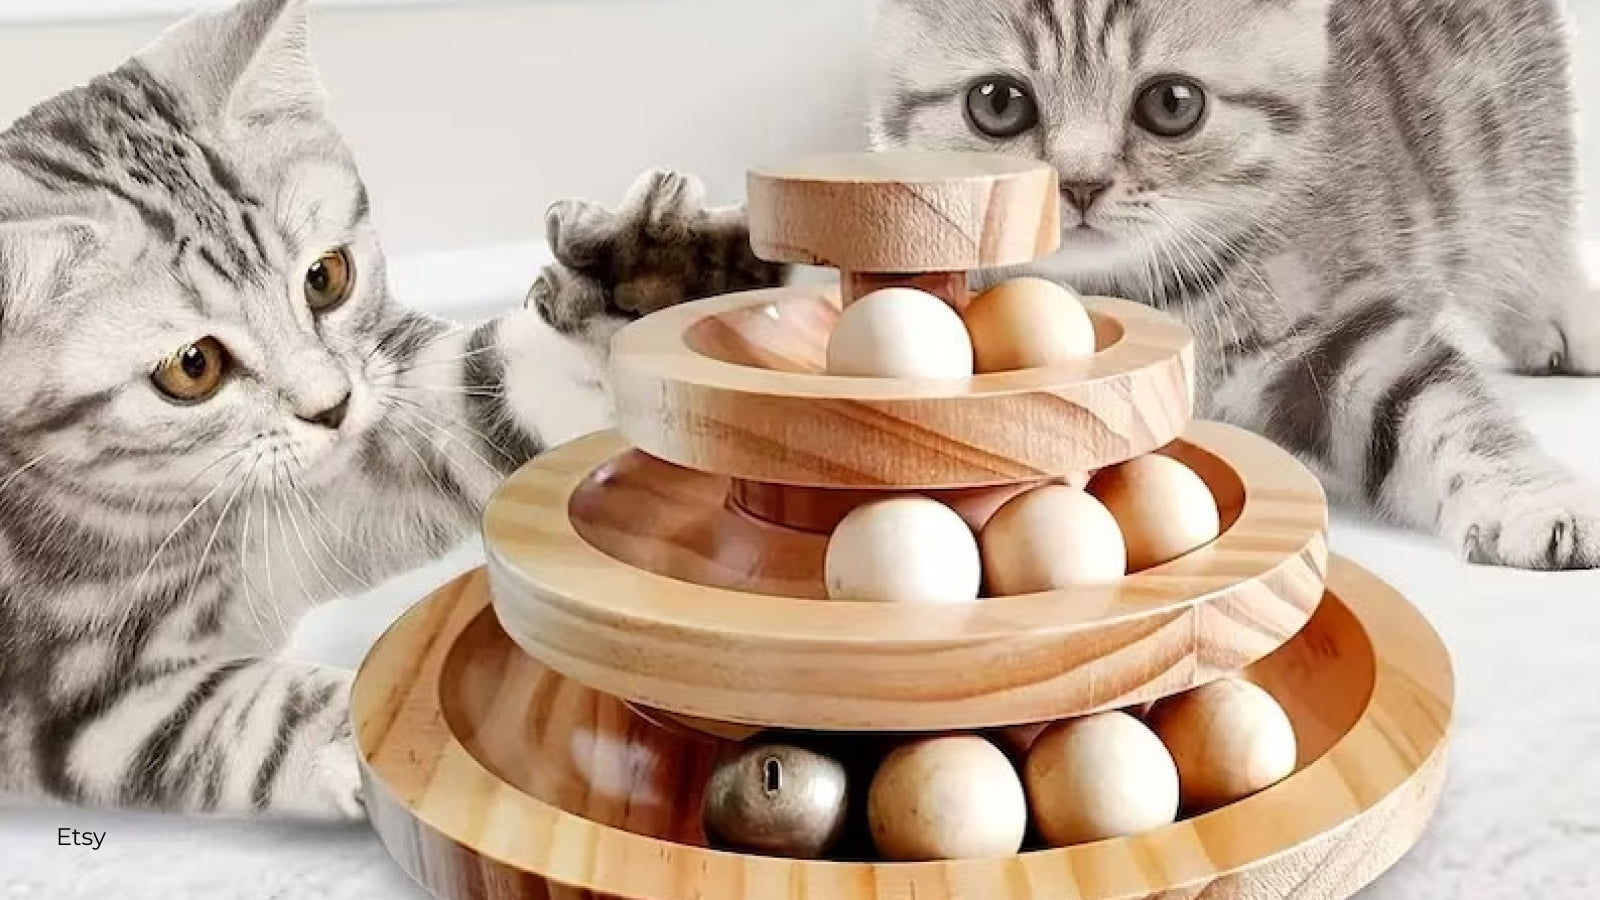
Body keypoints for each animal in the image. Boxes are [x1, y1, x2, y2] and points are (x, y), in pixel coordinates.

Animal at [0, 0, 736, 816]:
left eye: (326, 277)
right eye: (193, 368)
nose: (331, 408)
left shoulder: (373, 443)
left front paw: (642, 284)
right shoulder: (86, 714)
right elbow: (267, 721)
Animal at [534, 0, 1600, 566]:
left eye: (1172, 104)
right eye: (999, 104)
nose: (1080, 184)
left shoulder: (1324, 323)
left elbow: (1430, 405)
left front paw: (1536, 499)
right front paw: (637, 276)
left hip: (1512, 136)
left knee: (1526, 223)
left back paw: (1557, 317)